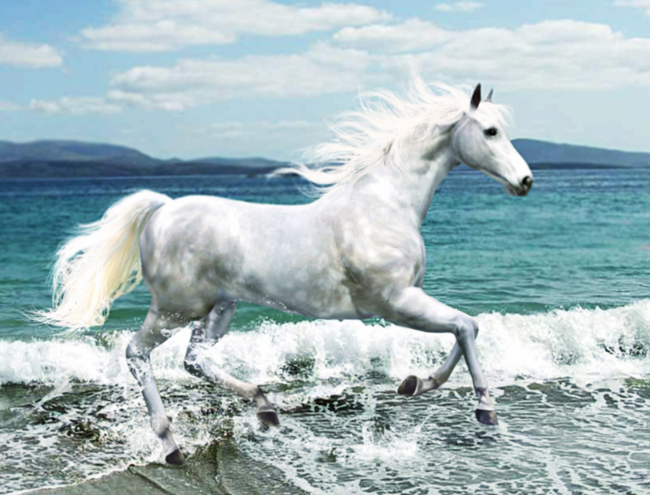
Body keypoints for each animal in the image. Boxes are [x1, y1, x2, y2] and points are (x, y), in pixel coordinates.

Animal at [34, 79, 533, 465]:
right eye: (490, 131)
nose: (525, 181)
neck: (385, 206)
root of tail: (160, 210)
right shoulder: (396, 303)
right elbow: (467, 326)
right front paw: (484, 408)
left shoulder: (409, 300)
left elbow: (465, 329)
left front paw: (415, 384)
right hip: (175, 308)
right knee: (137, 353)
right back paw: (171, 445)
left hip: (219, 308)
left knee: (194, 360)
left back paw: (265, 407)